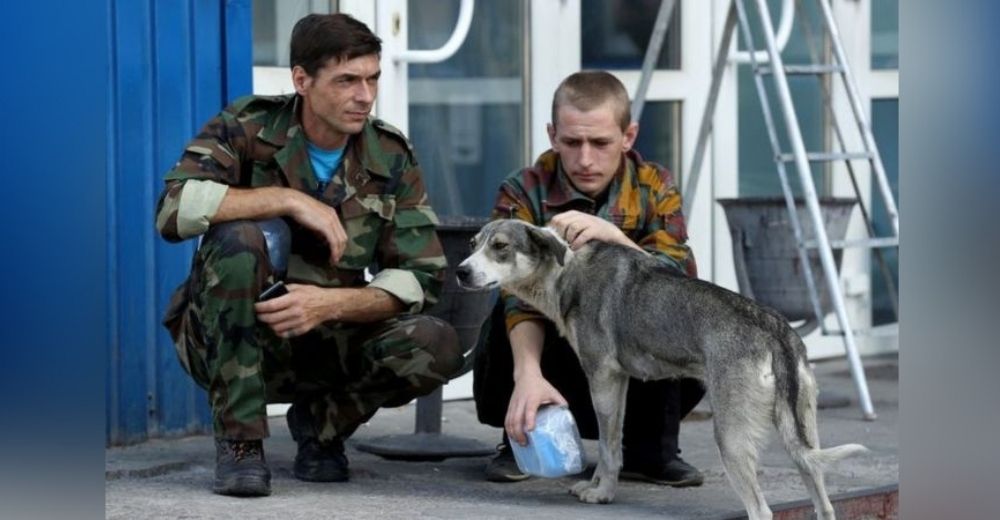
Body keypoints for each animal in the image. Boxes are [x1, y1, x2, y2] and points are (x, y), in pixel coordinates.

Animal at [458, 219, 864, 520]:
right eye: (473, 243)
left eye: (500, 246)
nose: (461, 272)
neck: (565, 269)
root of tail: (775, 329)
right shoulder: (619, 382)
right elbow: (611, 444)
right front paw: (598, 487)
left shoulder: (602, 379)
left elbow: (608, 447)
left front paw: (602, 493)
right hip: (803, 436)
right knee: (824, 501)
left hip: (731, 438)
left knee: (761, 510)